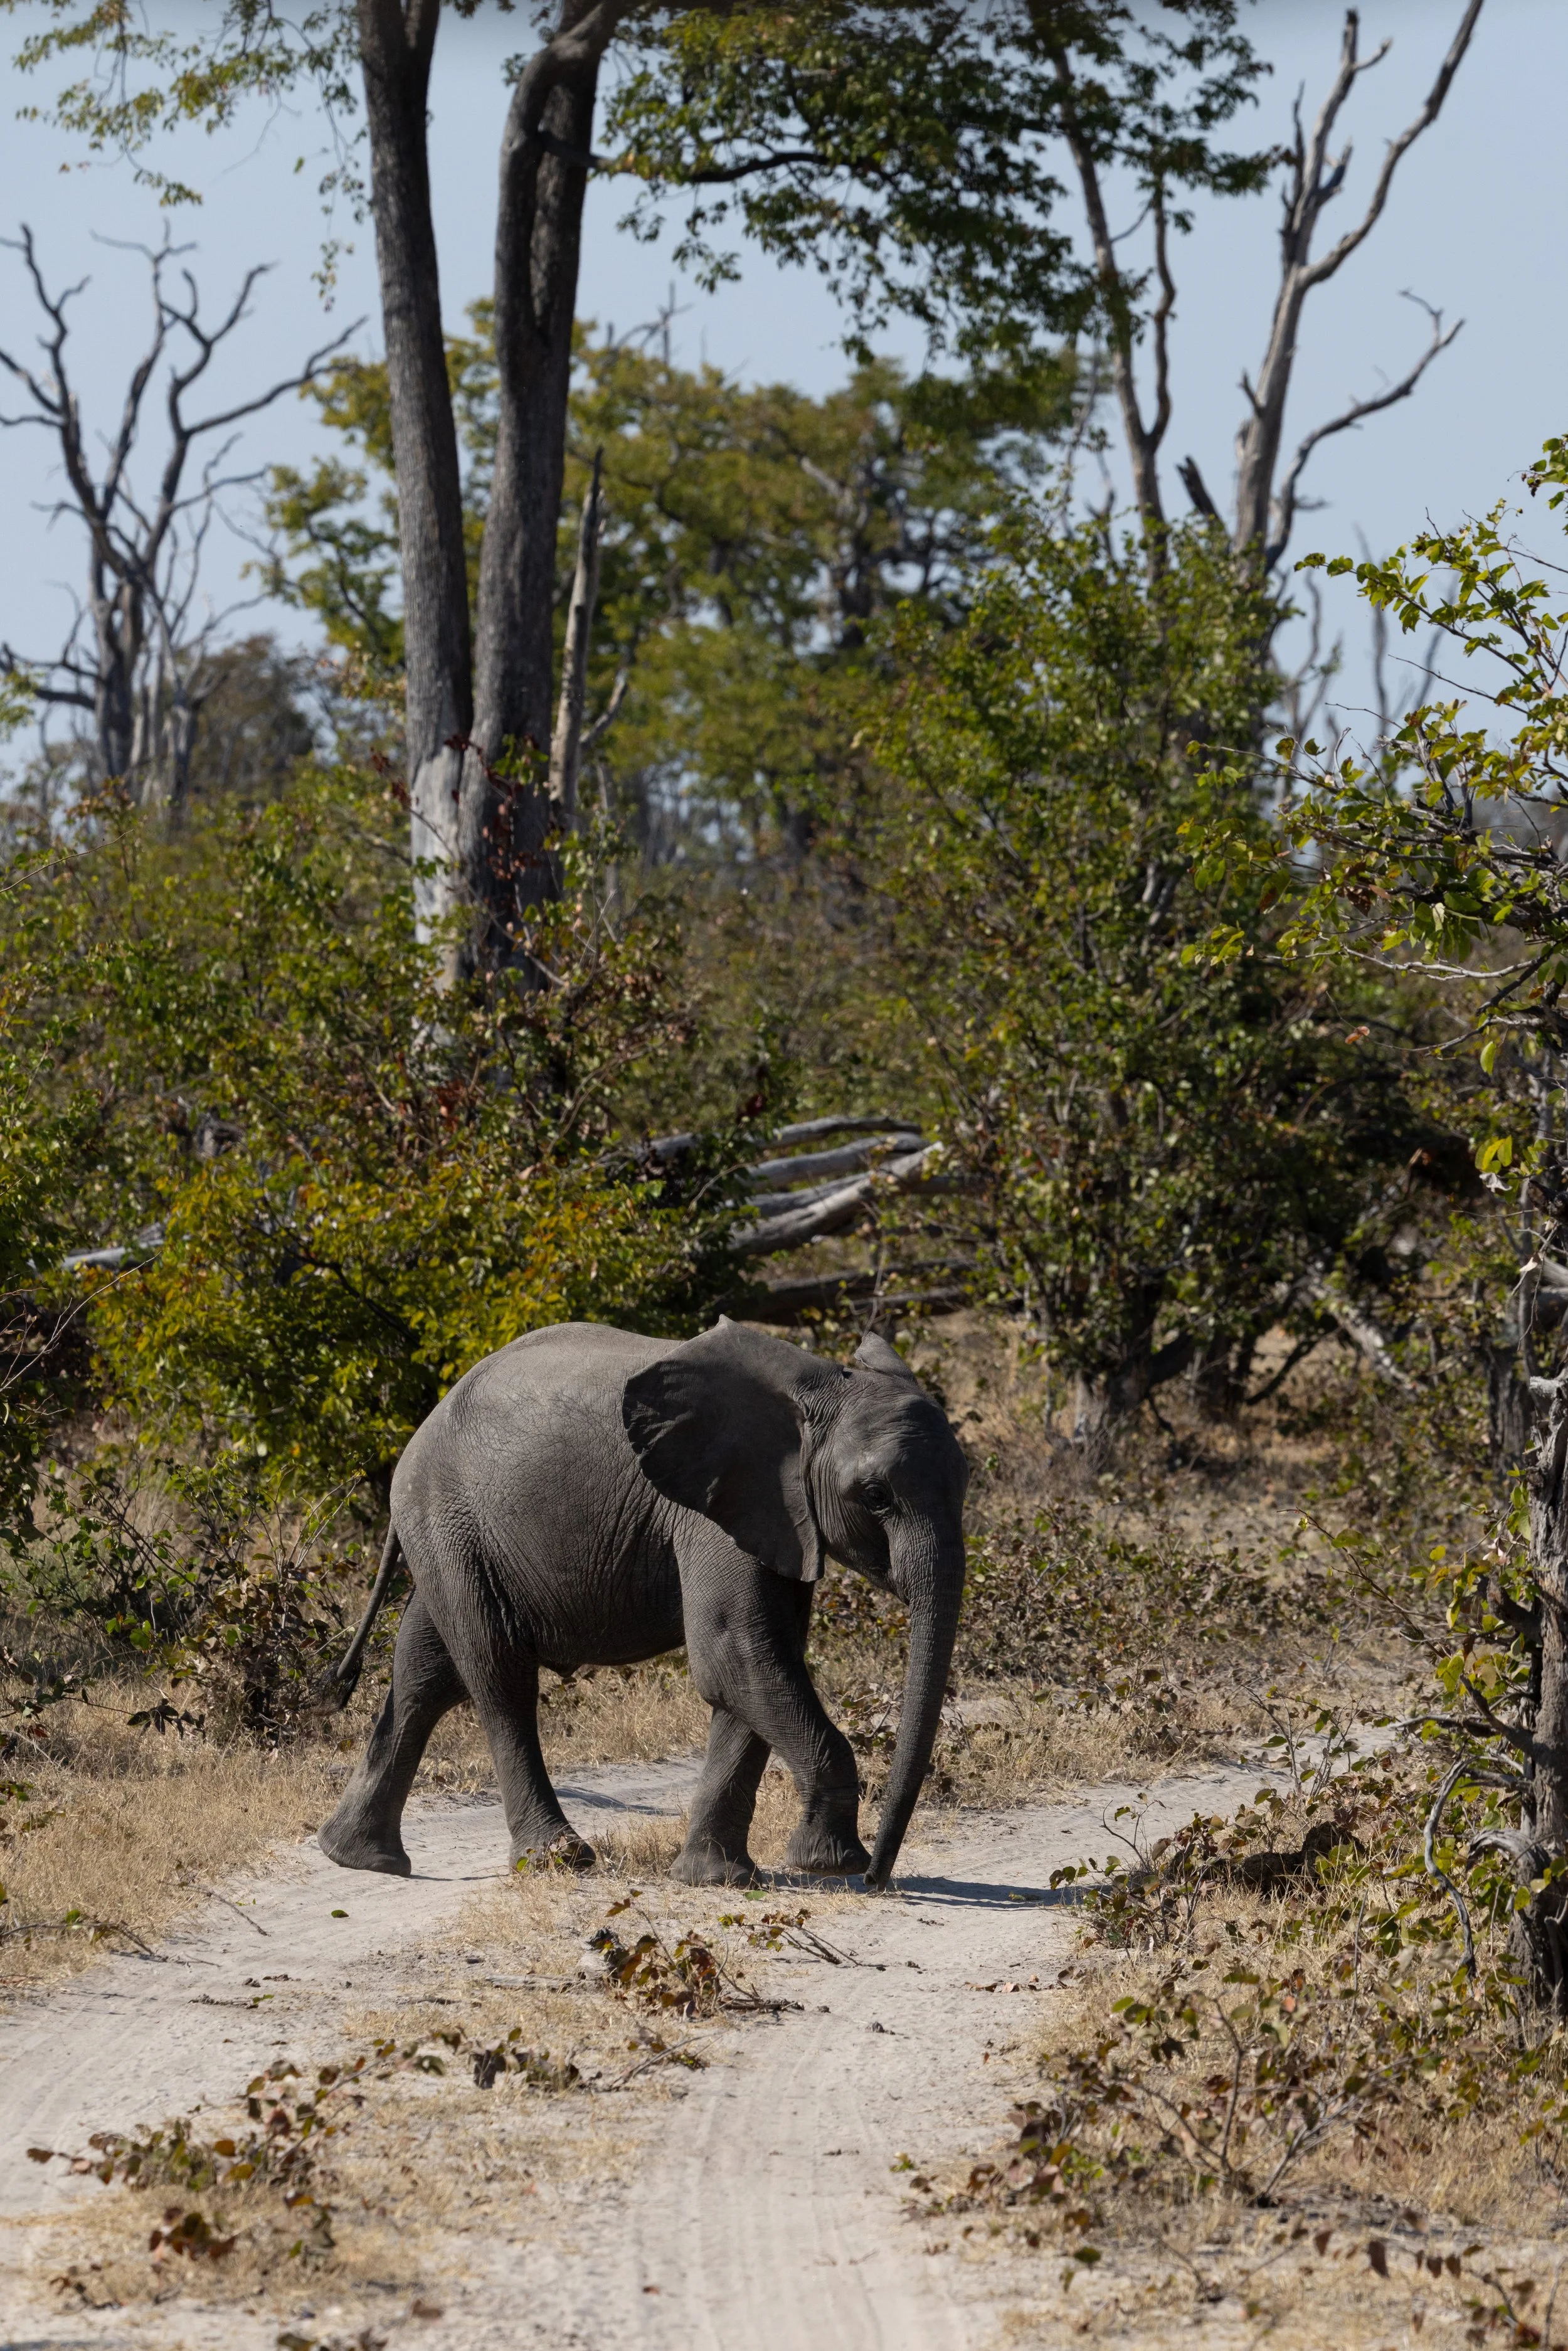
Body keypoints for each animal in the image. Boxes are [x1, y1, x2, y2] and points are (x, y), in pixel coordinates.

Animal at [316, 1316, 969, 1890]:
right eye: (876, 1496)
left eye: (965, 1486)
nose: (878, 1878)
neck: (820, 1385)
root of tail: (420, 1430)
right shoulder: (713, 1512)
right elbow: (734, 1651)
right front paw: (828, 1864)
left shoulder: (774, 1514)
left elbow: (754, 1664)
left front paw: (715, 1879)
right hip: (448, 1518)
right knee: (499, 1675)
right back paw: (558, 1859)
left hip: (452, 1533)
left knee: (427, 1671)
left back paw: (359, 1858)